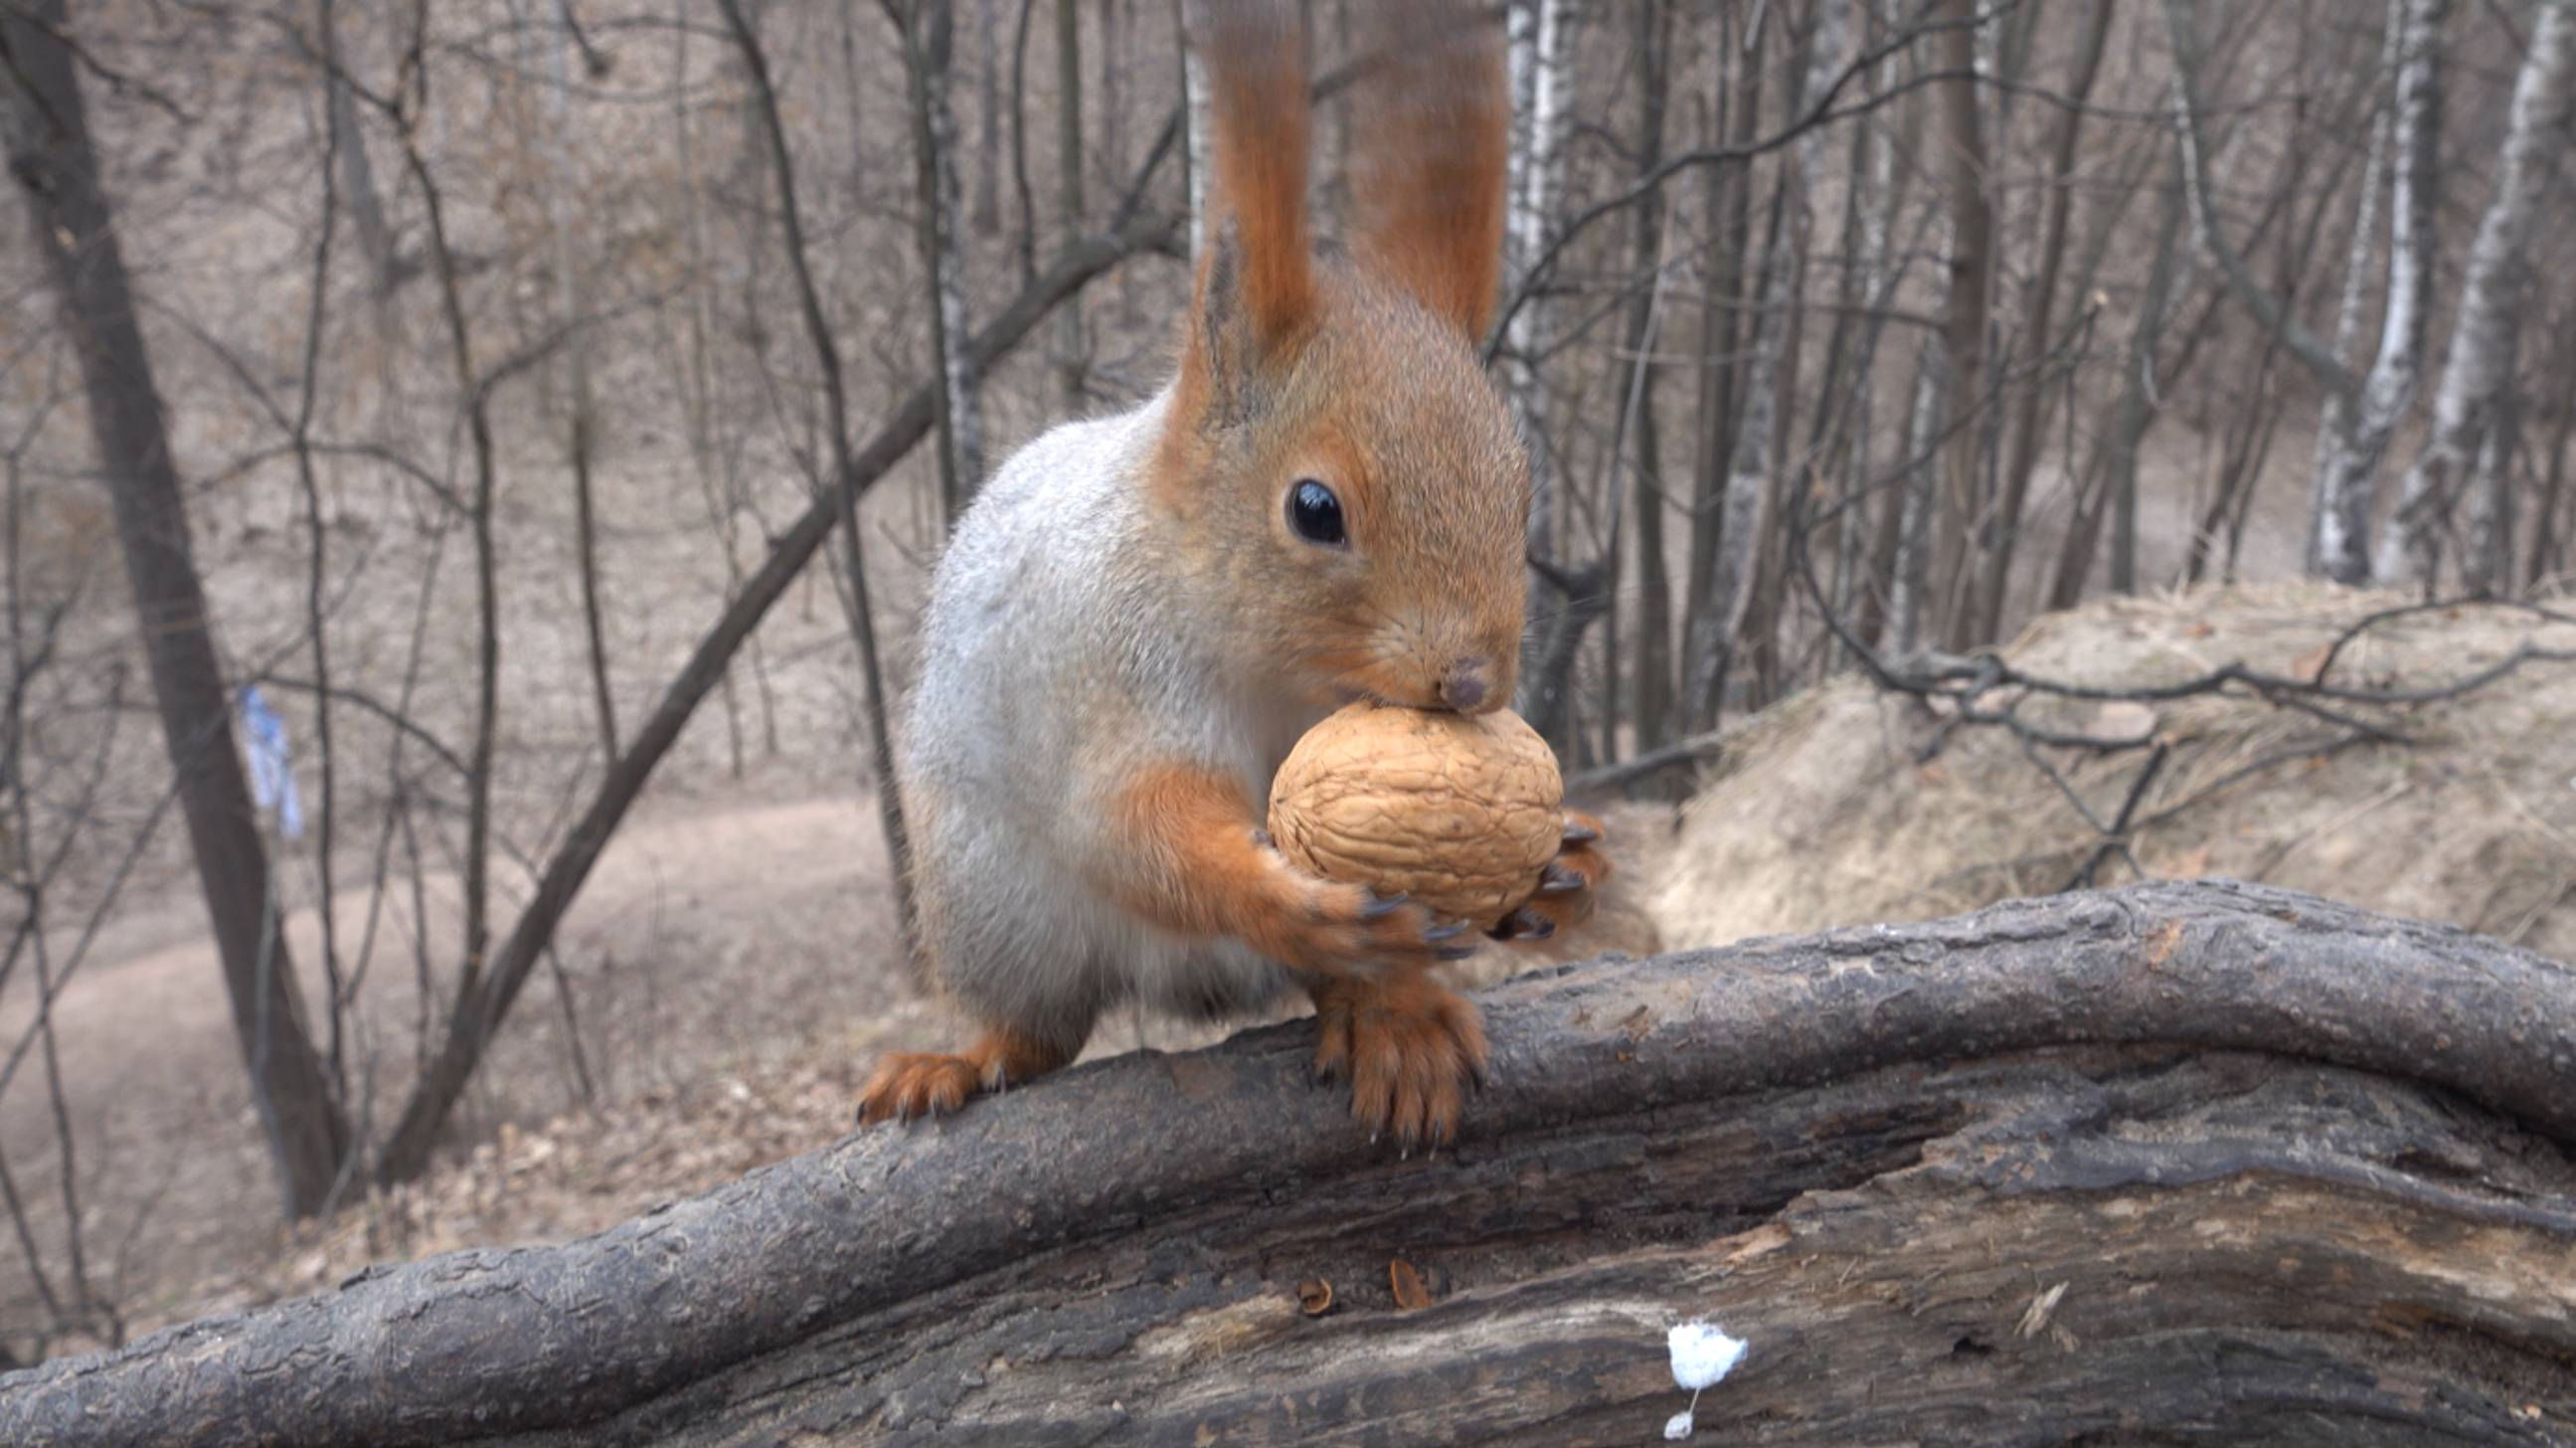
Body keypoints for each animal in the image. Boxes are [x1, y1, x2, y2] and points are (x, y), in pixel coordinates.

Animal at [855, 0, 1597, 1149]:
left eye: (1521, 488)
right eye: (1314, 509)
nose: (1473, 682)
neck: (1279, 673)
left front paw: (1558, 865)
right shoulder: (1111, 666)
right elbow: (1131, 823)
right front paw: (1288, 894)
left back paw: (1395, 1017)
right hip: (991, 904)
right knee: (1036, 1028)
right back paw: (963, 1059)